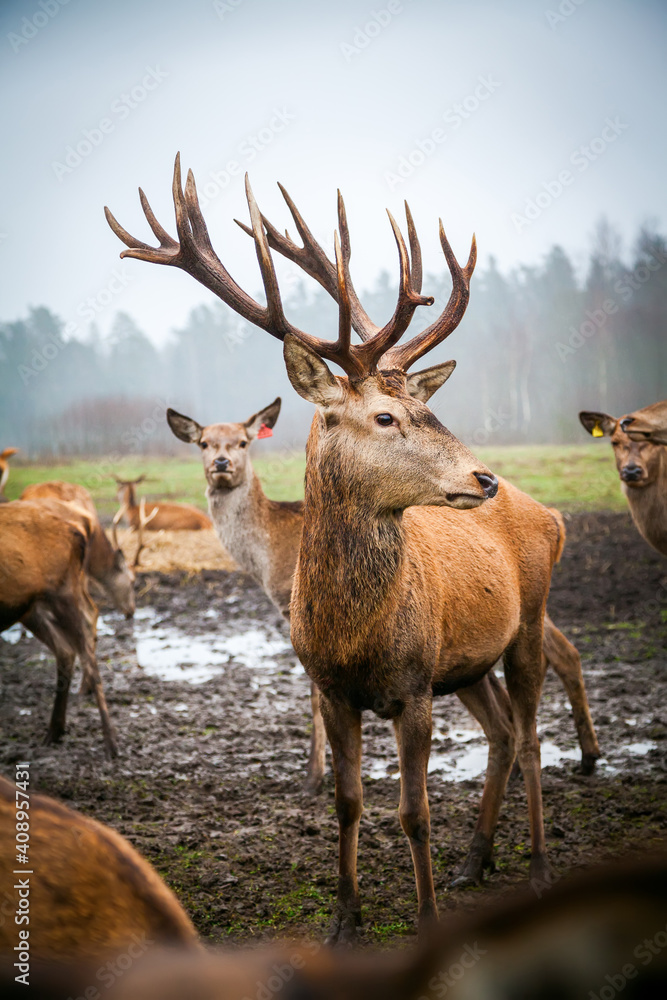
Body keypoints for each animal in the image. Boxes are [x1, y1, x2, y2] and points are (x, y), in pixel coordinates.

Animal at [0, 499, 118, 757]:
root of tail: (76, 530)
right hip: (31, 606)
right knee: (66, 650)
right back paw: (54, 732)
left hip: (60, 592)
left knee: (87, 654)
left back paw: (111, 744)